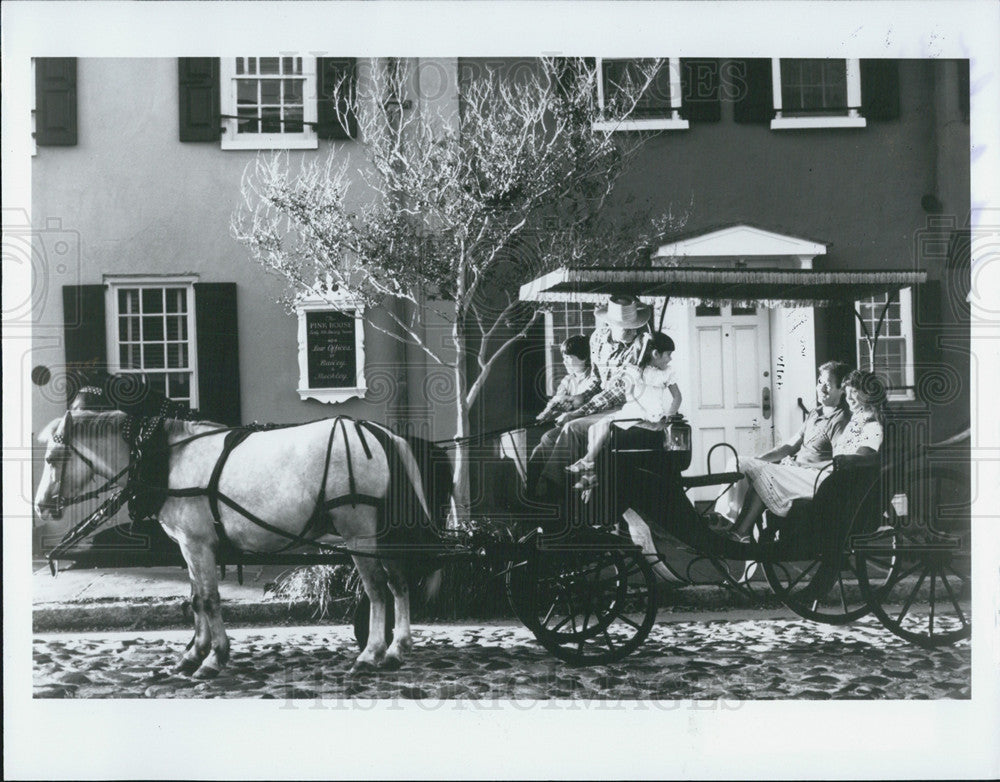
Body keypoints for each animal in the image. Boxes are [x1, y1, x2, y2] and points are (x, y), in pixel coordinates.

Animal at [36, 410, 450, 680]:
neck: (166, 458)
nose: (41, 506)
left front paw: (213, 658)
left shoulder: (197, 544)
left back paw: (371, 654)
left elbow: (208, 600)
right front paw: (193, 654)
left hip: (359, 533)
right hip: (383, 536)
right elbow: (195, 599)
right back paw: (397, 649)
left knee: (378, 590)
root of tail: (381, 434)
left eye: (54, 458)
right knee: (398, 585)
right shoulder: (191, 546)